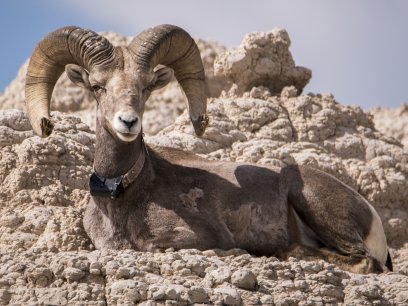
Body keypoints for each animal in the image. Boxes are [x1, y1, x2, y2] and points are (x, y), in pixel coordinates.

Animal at [25, 23, 392, 272]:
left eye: (147, 87)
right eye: (97, 86)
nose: (128, 122)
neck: (123, 195)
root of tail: (371, 213)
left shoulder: (198, 237)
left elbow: (154, 246)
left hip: (311, 200)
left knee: (361, 261)